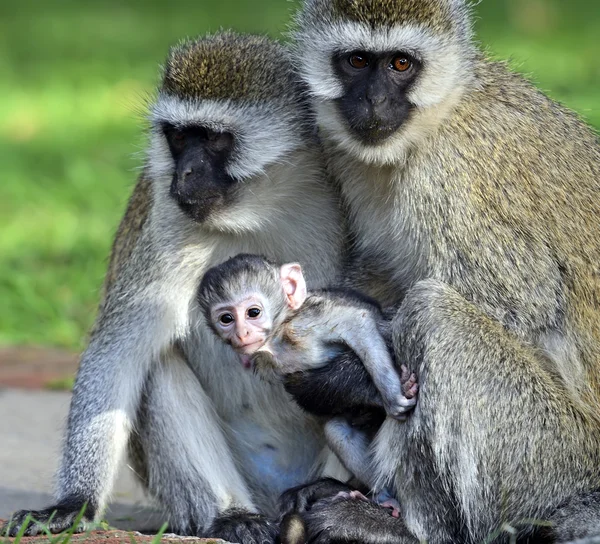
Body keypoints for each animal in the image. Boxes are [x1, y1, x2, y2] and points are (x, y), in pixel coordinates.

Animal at [3, 31, 342, 540]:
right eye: (179, 137)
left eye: (215, 140)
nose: (183, 174)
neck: (259, 211)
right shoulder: (168, 222)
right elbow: (117, 354)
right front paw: (72, 503)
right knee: (157, 364)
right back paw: (233, 515)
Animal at [197, 251, 418, 420]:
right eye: (226, 318)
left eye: (253, 312)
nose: (242, 334)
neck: (277, 341)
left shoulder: (303, 325)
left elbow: (358, 322)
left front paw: (393, 396)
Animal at [284, 1, 600, 544]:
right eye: (358, 61)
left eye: (401, 65)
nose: (374, 101)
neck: (435, 120)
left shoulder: (450, 181)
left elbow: (525, 302)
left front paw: (342, 378)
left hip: (553, 459)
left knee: (433, 313)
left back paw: (405, 527)